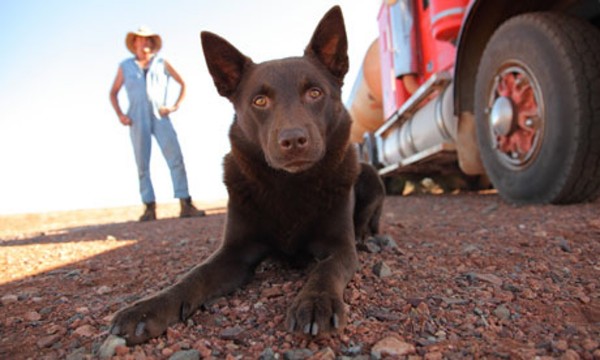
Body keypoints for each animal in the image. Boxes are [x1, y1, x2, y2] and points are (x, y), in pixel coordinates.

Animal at [110, 4, 384, 344]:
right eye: (260, 101)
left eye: (315, 93)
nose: (293, 140)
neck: (288, 185)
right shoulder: (234, 252)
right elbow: (193, 275)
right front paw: (148, 307)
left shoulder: (339, 249)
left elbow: (326, 270)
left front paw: (315, 301)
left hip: (369, 174)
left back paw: (366, 236)